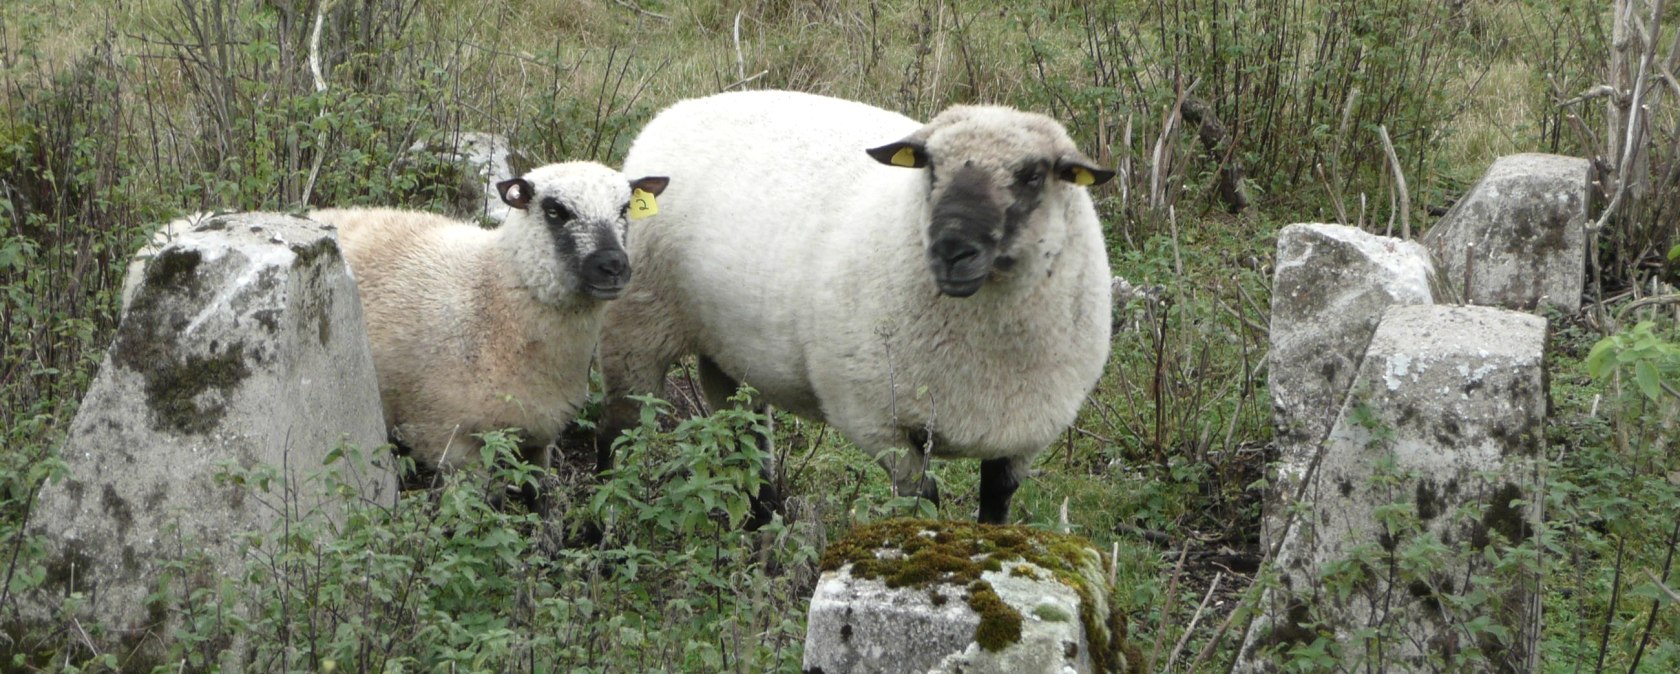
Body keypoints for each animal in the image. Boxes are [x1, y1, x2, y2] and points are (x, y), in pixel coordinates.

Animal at [309, 161, 668, 478]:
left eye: (624, 209)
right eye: (555, 210)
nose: (613, 265)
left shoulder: (539, 434)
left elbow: (539, 500)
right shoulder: (451, 443)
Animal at [596, 91, 1114, 524]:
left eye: (1033, 176)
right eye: (929, 167)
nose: (950, 250)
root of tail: (676, 110)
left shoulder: (1022, 435)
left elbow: (995, 508)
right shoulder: (875, 418)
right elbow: (922, 498)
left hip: (730, 349)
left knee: (746, 436)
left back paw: (762, 525)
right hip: (635, 330)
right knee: (617, 432)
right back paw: (600, 527)